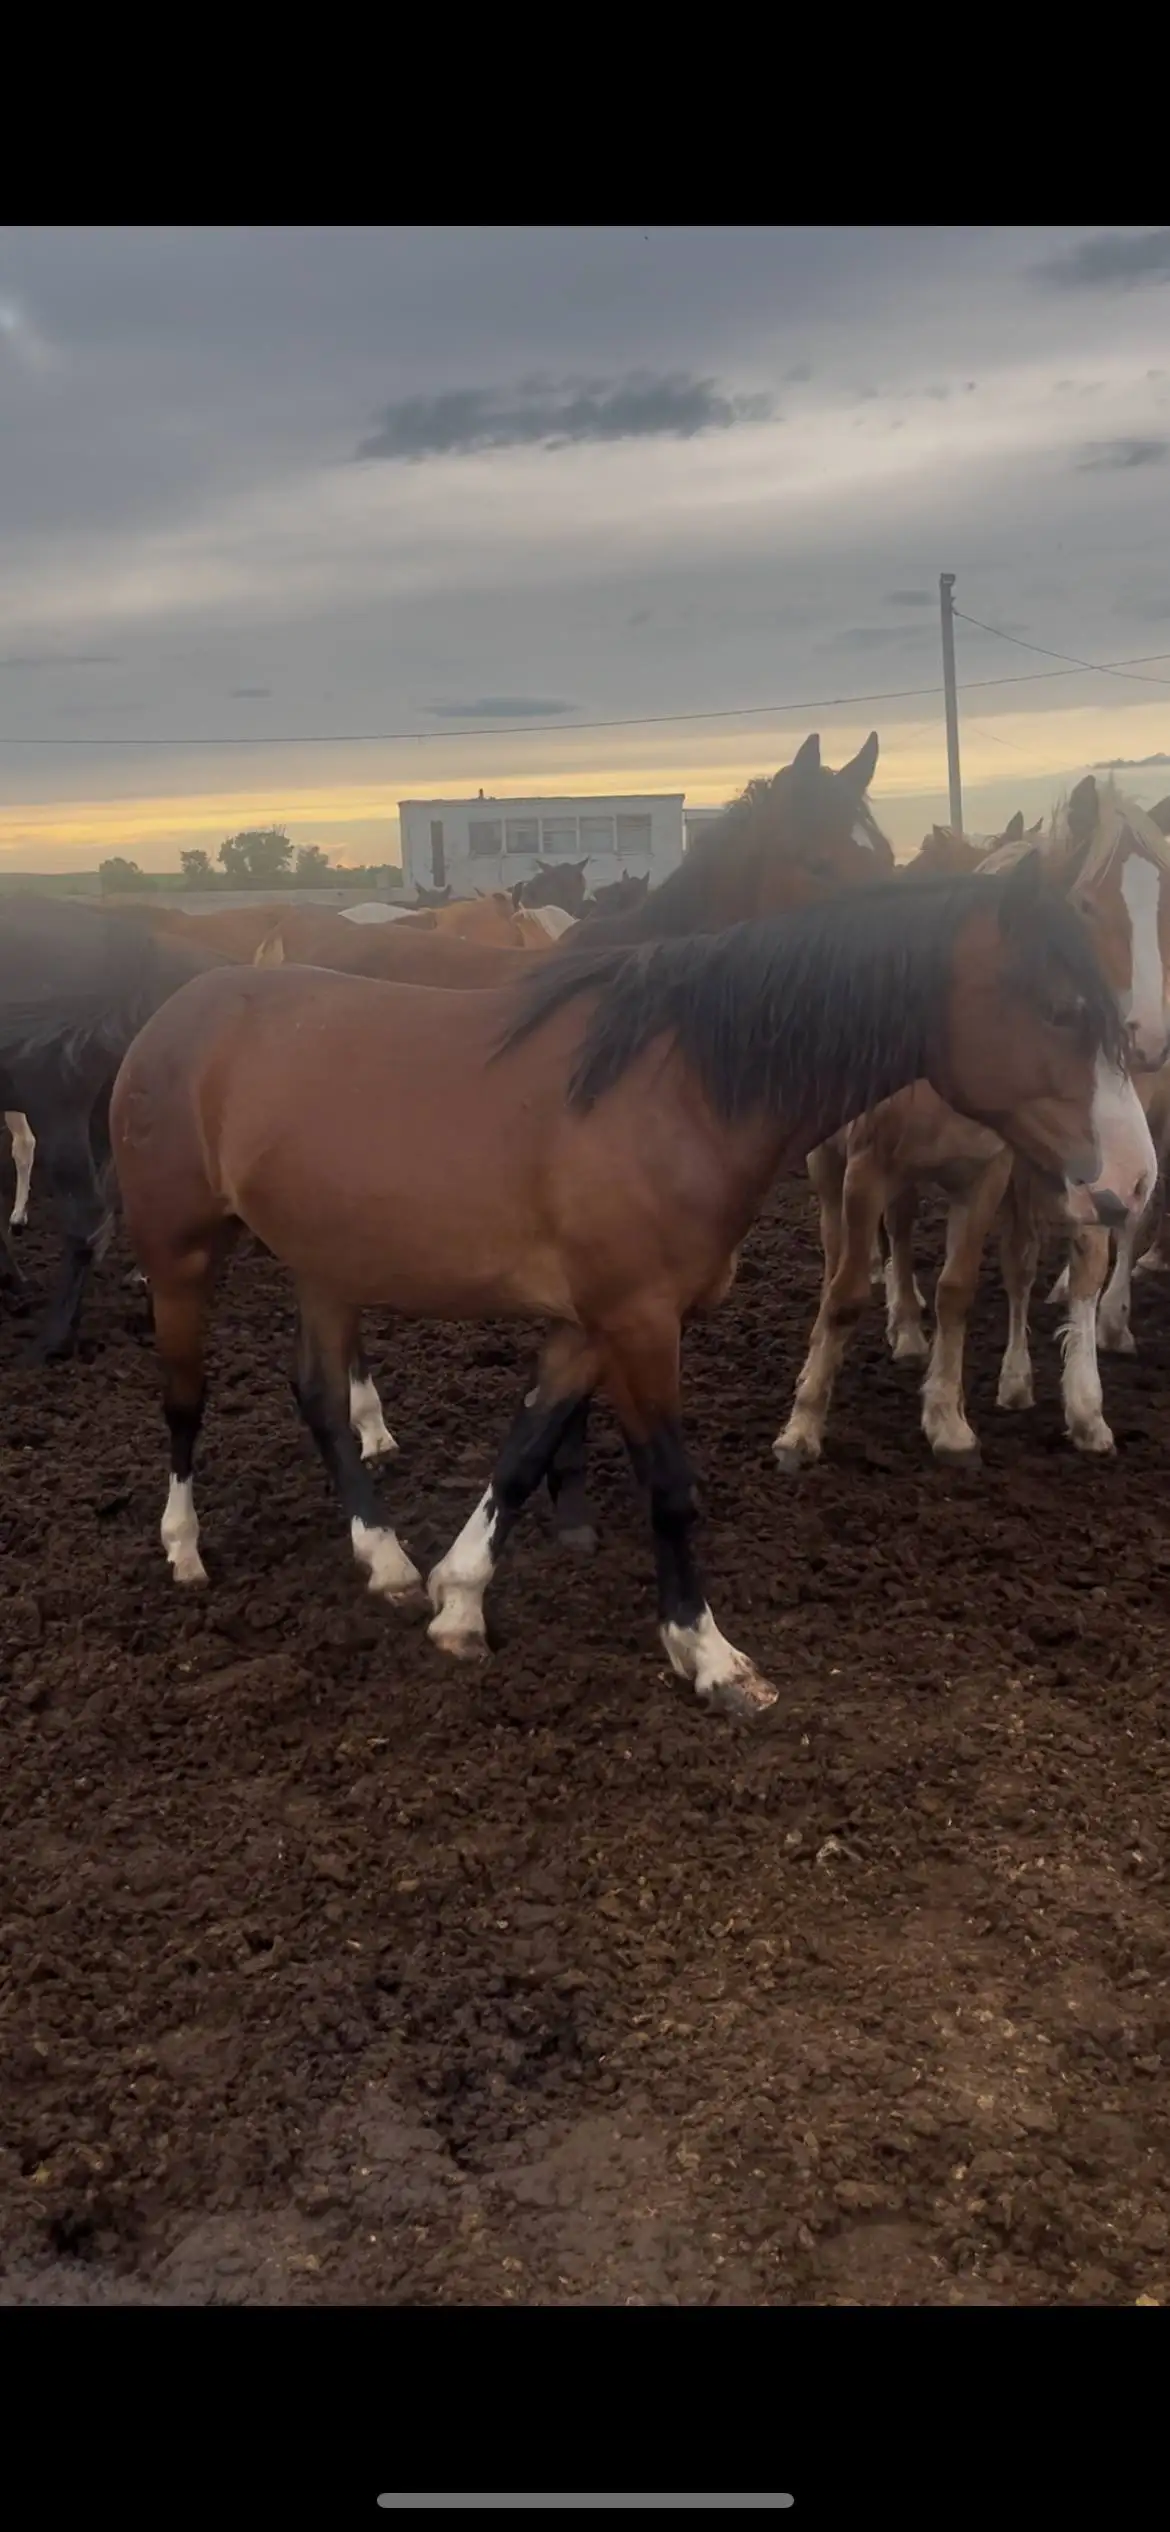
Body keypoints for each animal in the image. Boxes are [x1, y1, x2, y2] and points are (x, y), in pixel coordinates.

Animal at [111, 862, 1150, 1718]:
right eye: (1062, 1009)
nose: (1134, 1183)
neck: (674, 1092)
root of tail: (179, 1011)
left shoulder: (590, 1327)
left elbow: (524, 1453)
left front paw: (458, 1598)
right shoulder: (642, 1325)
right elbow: (671, 1487)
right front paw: (708, 1655)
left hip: (328, 1267)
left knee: (323, 1399)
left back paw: (386, 1558)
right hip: (181, 1257)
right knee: (184, 1400)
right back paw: (183, 1546)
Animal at [775, 780, 1170, 1472]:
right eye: (1088, 906)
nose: (1148, 1036)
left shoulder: (995, 1173)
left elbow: (969, 1284)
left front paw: (957, 1416)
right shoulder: (868, 1168)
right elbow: (846, 1292)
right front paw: (804, 1422)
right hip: (831, 1162)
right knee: (841, 1249)